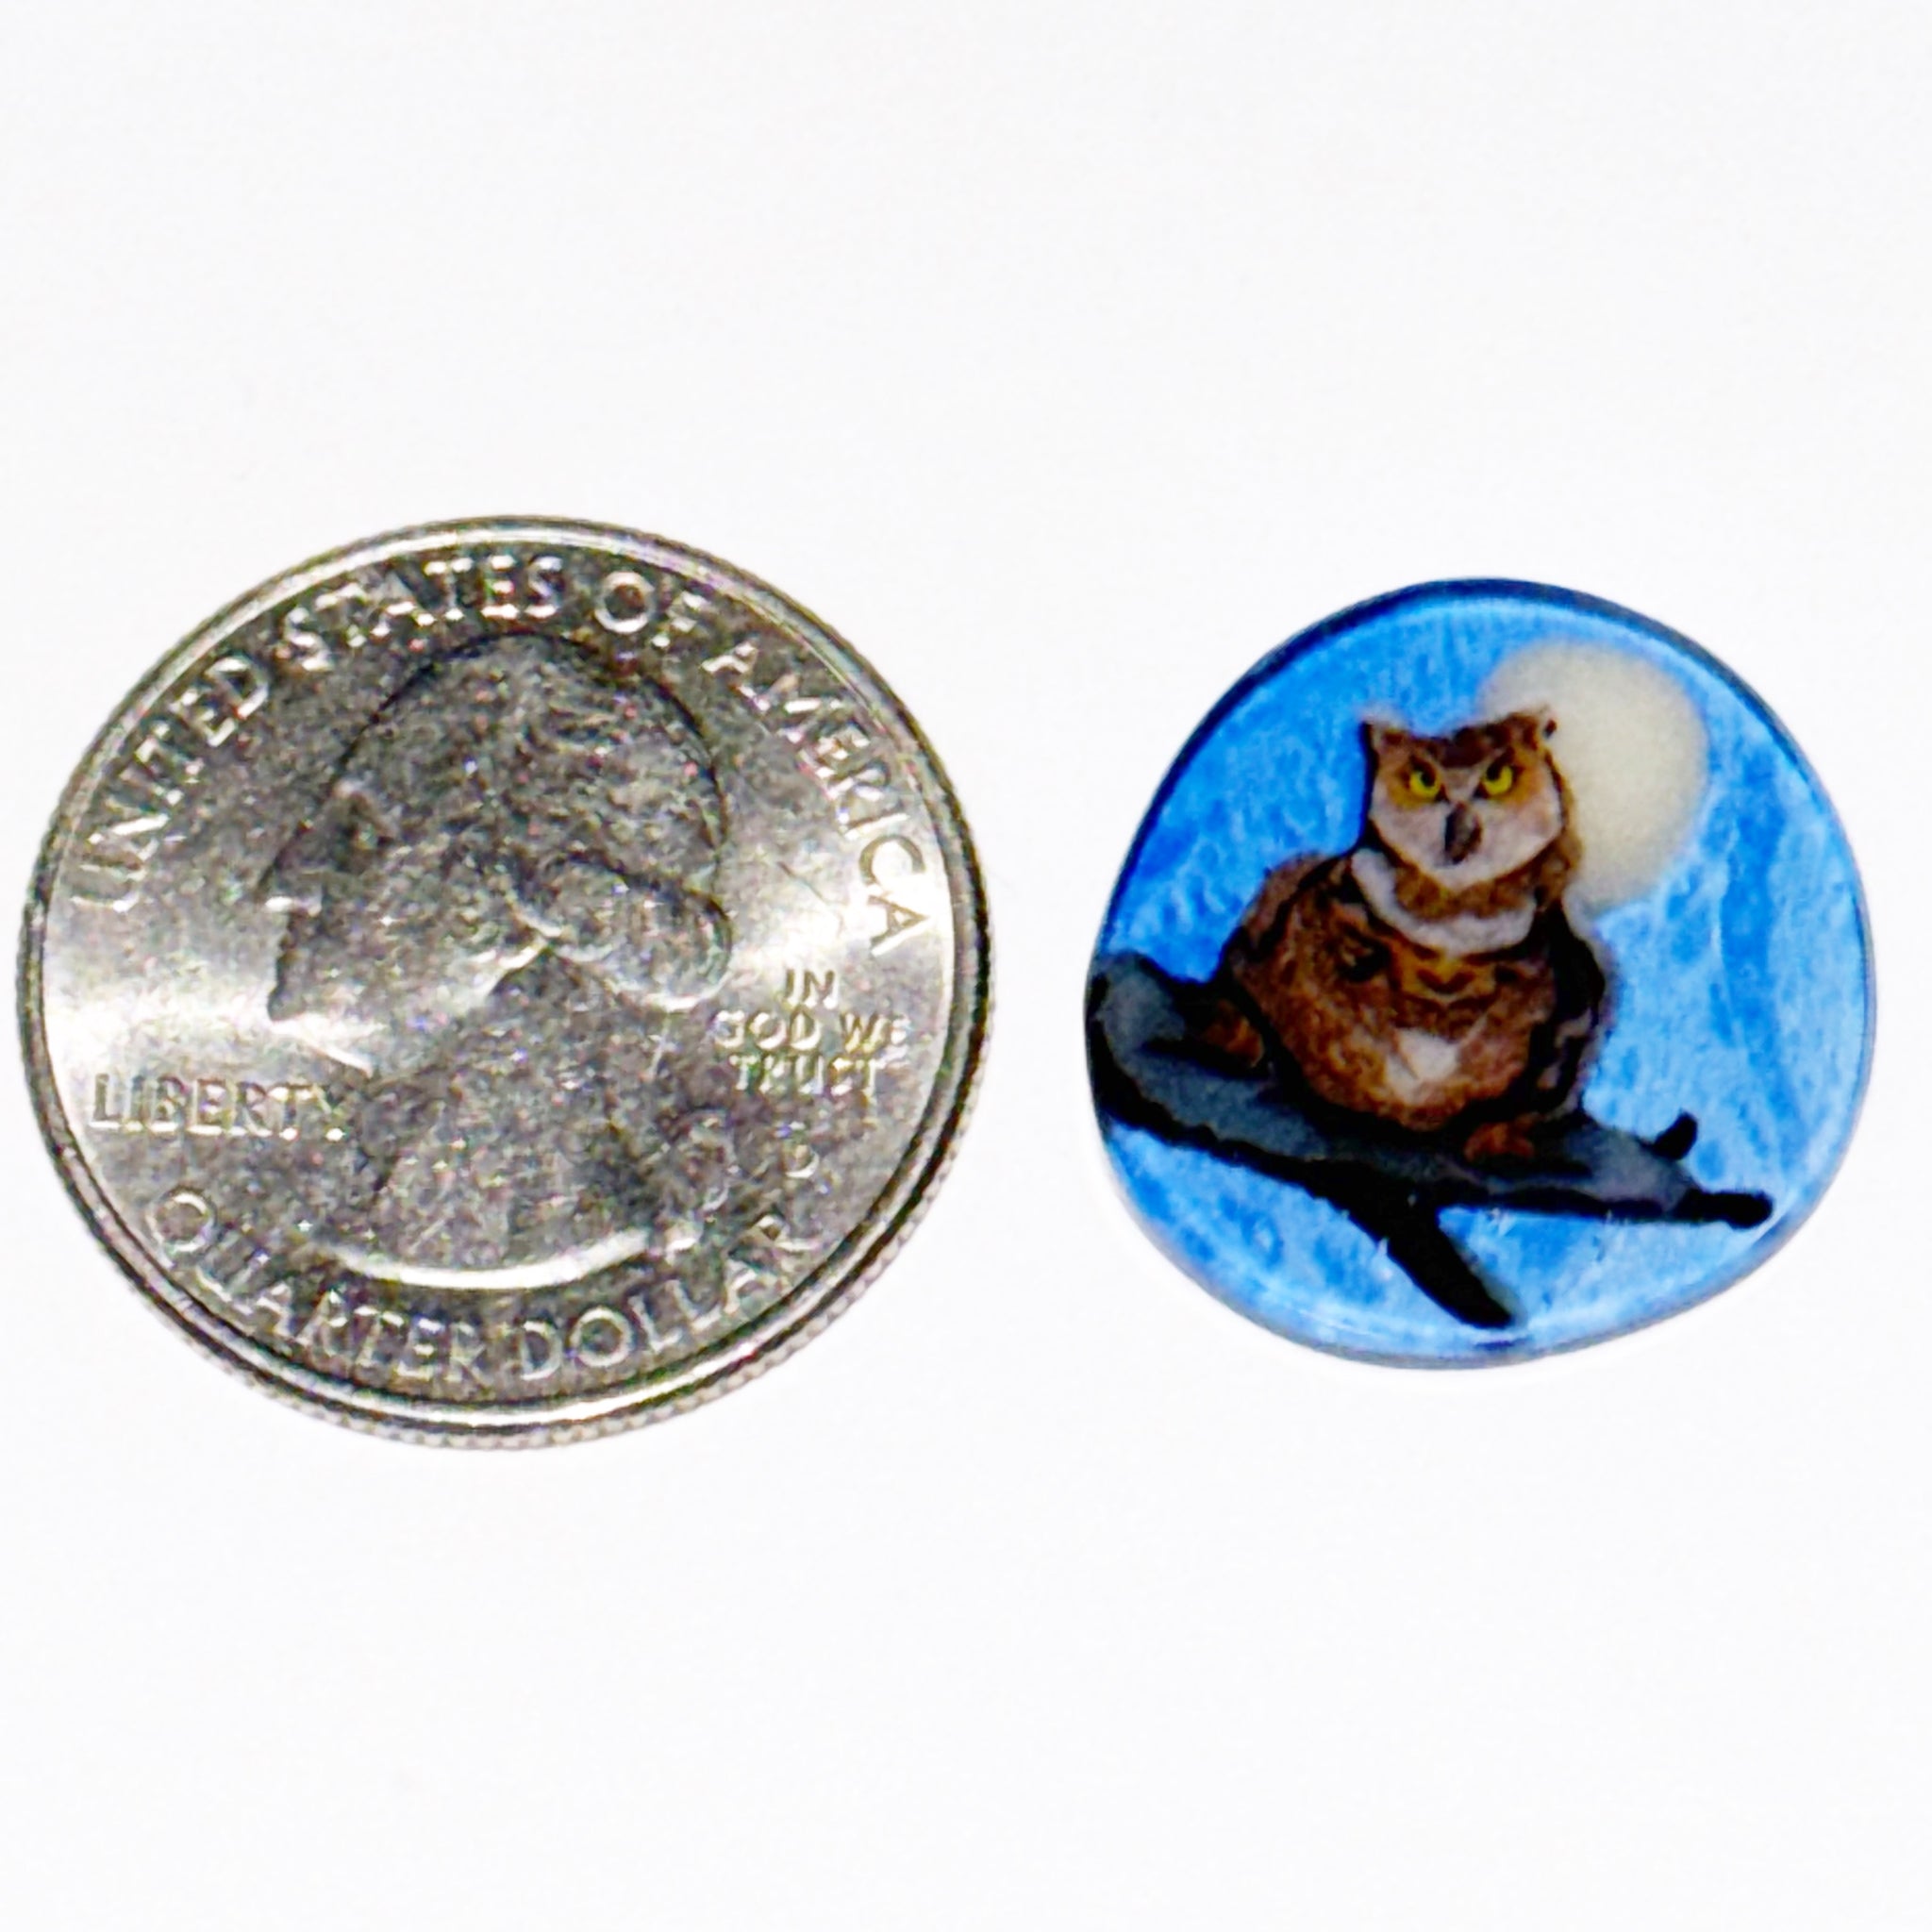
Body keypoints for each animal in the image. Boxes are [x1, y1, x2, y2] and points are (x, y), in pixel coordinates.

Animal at [1198, 710, 1607, 1164]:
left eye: (1498, 776)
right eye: (1423, 780)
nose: (1460, 827)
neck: (1452, 921)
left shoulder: (1574, 1005)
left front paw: (1495, 1137)